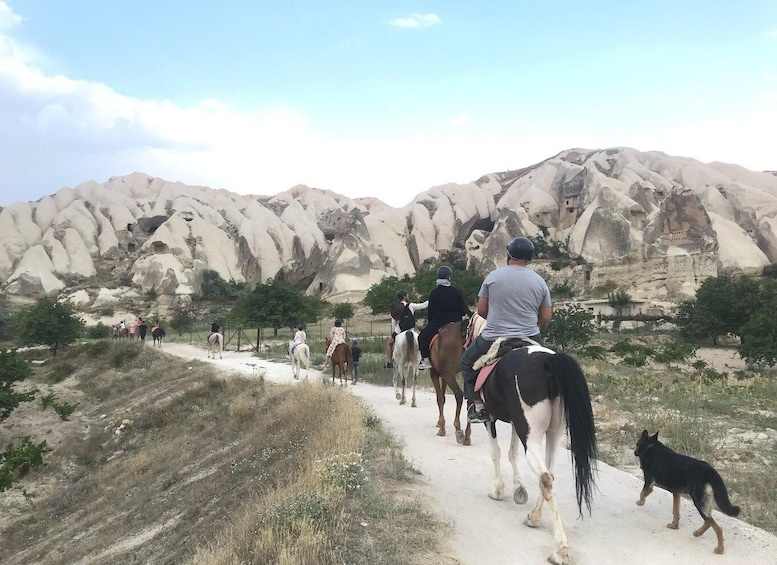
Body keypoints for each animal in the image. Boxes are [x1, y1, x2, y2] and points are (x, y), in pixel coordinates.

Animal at [470, 316, 596, 560]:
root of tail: (549, 361)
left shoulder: (490, 419)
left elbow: (496, 452)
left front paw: (499, 490)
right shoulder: (514, 423)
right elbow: (512, 452)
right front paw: (518, 488)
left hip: (531, 433)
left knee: (545, 477)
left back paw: (560, 548)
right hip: (552, 433)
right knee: (549, 474)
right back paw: (534, 517)